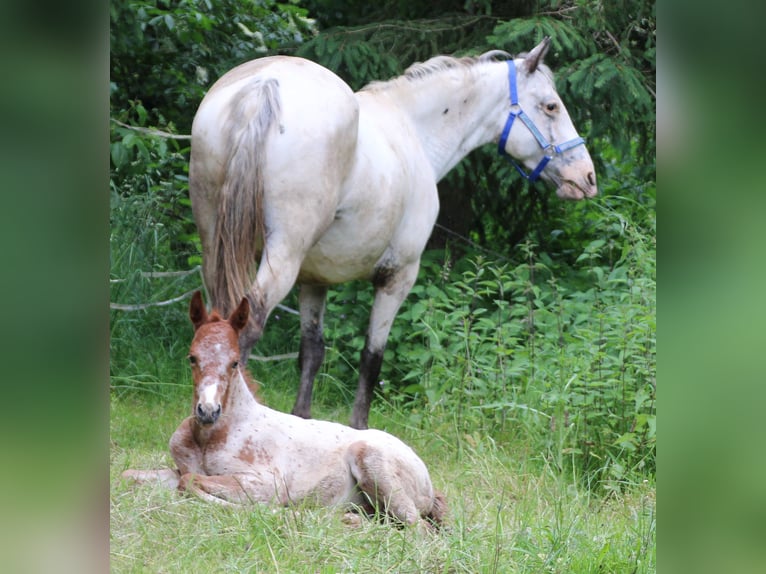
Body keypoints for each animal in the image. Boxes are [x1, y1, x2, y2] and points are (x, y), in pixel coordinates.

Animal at [122, 292, 448, 532]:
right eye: (192, 358)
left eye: (235, 362)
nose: (207, 411)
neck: (210, 437)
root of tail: (428, 481)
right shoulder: (178, 467)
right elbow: (134, 475)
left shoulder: (265, 482)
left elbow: (189, 482)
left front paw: (271, 511)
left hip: (373, 464)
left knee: (418, 530)